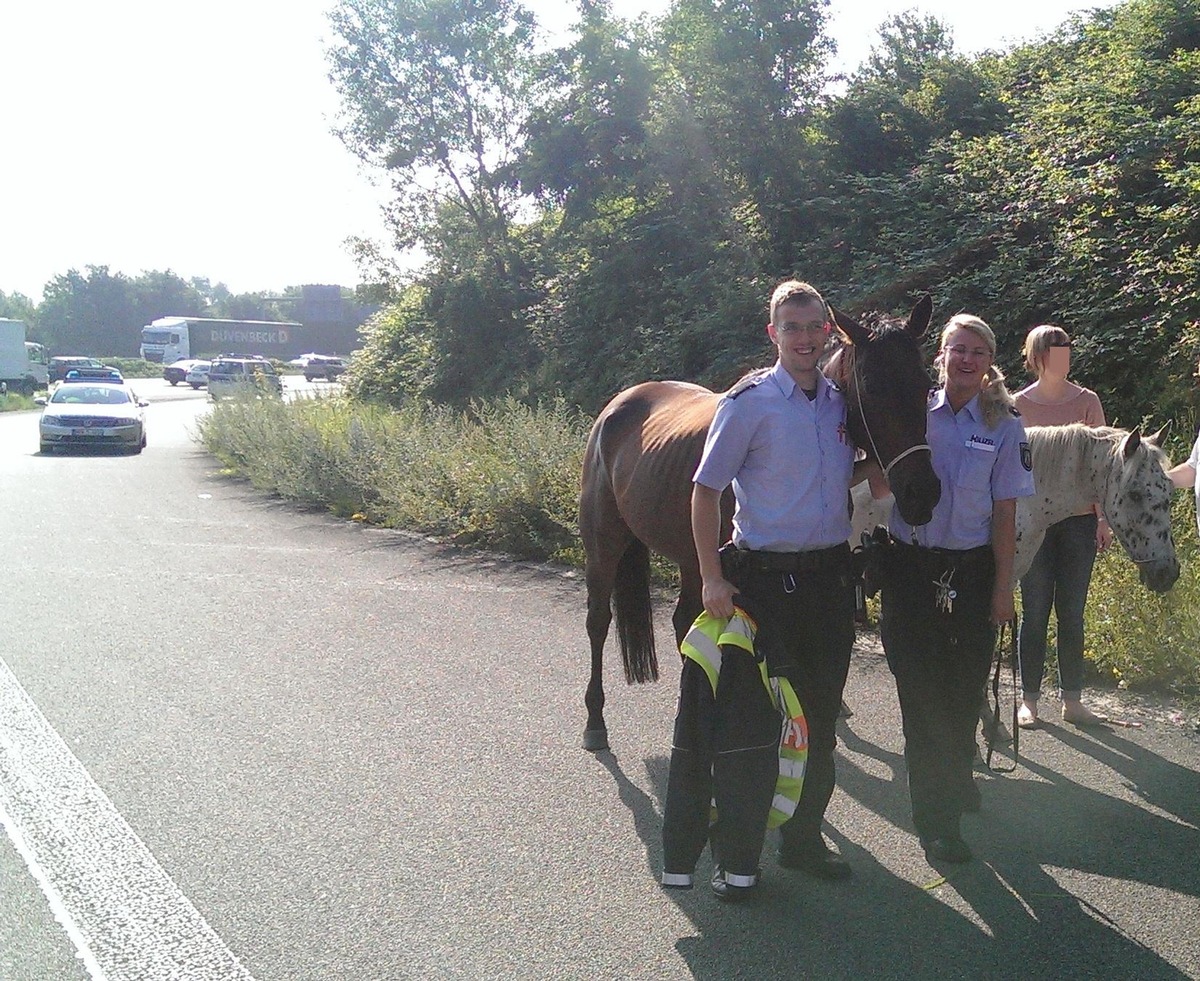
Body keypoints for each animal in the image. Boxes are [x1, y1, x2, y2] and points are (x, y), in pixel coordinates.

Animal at [580, 298, 945, 748]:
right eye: (873, 386)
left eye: (926, 385)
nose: (922, 493)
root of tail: (616, 407)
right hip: (605, 546)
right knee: (599, 621)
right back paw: (595, 720)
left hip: (691, 557)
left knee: (683, 620)